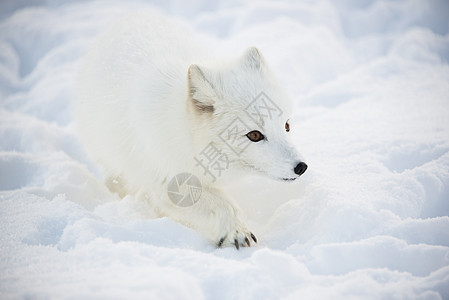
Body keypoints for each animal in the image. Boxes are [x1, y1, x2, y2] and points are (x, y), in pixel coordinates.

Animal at [78, 13, 308, 248]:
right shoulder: (166, 181)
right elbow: (221, 202)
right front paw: (236, 231)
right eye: (254, 135)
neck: (183, 133)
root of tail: (132, 16)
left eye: (286, 125)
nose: (301, 167)